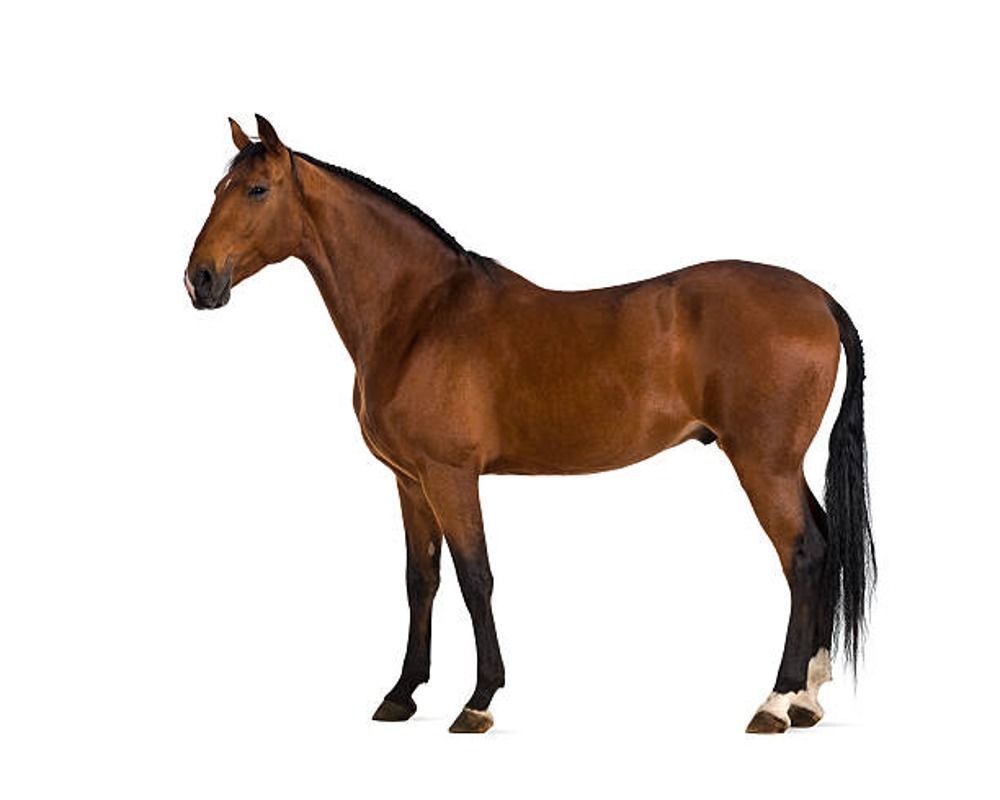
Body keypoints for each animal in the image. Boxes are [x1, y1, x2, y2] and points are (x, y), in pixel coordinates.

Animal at [184, 115, 875, 734]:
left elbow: (475, 577)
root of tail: (817, 298)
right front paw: (402, 694)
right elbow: (421, 580)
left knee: (803, 555)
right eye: (218, 188)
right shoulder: (409, 481)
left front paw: (478, 700)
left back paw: (776, 702)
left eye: (257, 190)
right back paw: (808, 698)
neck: (419, 314)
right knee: (822, 543)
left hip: (762, 464)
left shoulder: (451, 475)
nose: (200, 279)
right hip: (781, 464)